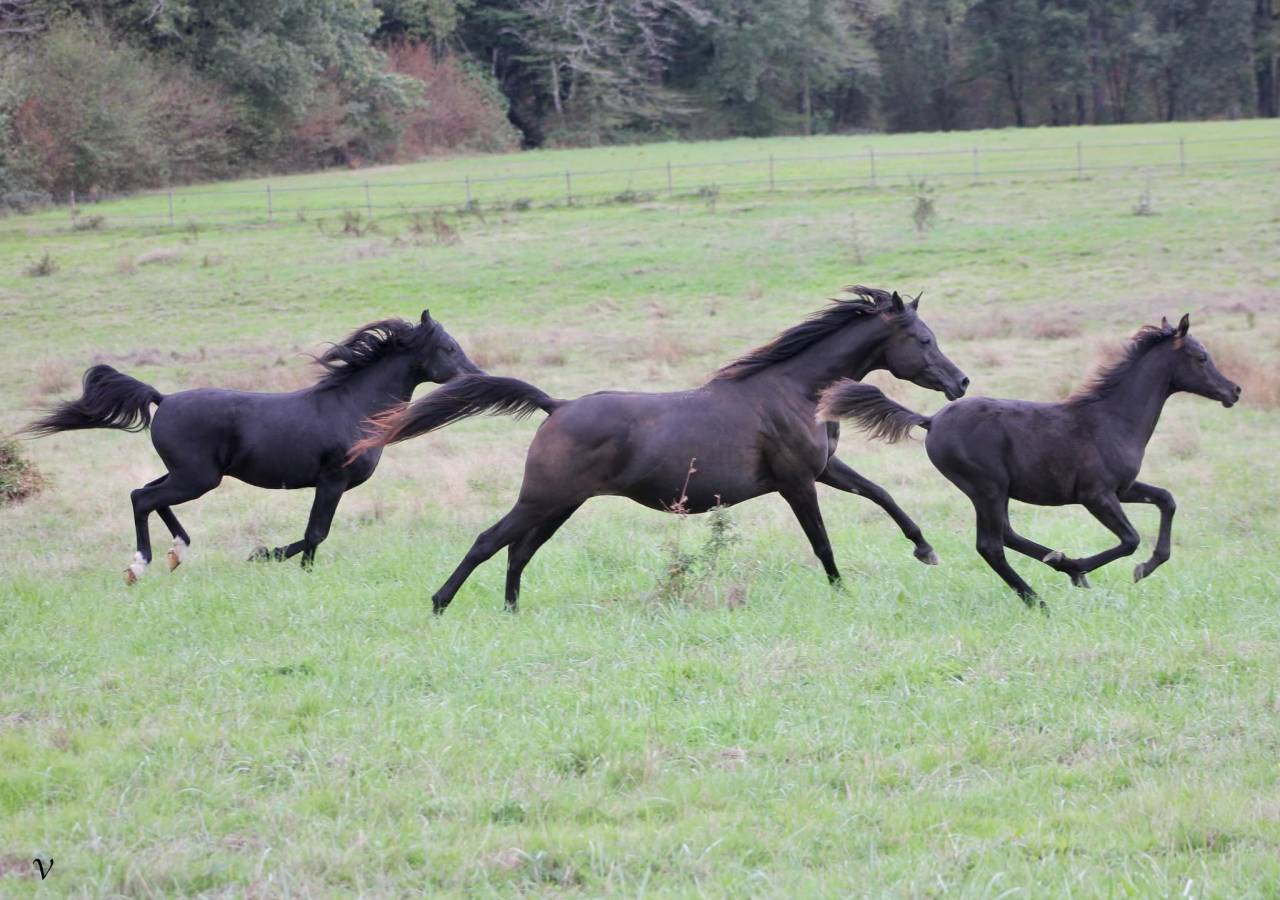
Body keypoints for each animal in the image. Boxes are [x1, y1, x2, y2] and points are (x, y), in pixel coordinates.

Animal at [25, 311, 481, 583]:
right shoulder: (331, 481)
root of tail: (163, 399)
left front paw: (268, 556)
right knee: (142, 497)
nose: (476, 378)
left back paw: (177, 552)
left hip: (188, 474)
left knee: (149, 495)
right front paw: (274, 559)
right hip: (197, 478)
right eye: (448, 348)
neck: (352, 407)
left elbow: (313, 534)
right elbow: (316, 533)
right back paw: (141, 564)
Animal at [348, 287, 970, 614]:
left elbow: (882, 494)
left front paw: (925, 549)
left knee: (518, 551)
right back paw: (440, 602)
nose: (960, 382)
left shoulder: (824, 468)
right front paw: (841, 591)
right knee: (489, 541)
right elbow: (821, 542)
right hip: (542, 498)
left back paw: (511, 610)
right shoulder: (797, 481)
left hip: (560, 504)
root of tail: (557, 405)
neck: (793, 390)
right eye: (923, 339)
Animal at [820, 314, 1241, 605]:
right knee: (991, 545)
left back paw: (1058, 562)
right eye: (1201, 357)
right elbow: (1130, 539)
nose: (1234, 390)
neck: (1112, 419)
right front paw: (1099, 569)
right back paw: (1038, 597)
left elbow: (1167, 500)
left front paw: (1144, 565)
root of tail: (931, 419)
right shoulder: (1097, 495)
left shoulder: (1124, 487)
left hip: (993, 492)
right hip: (987, 488)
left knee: (1005, 535)